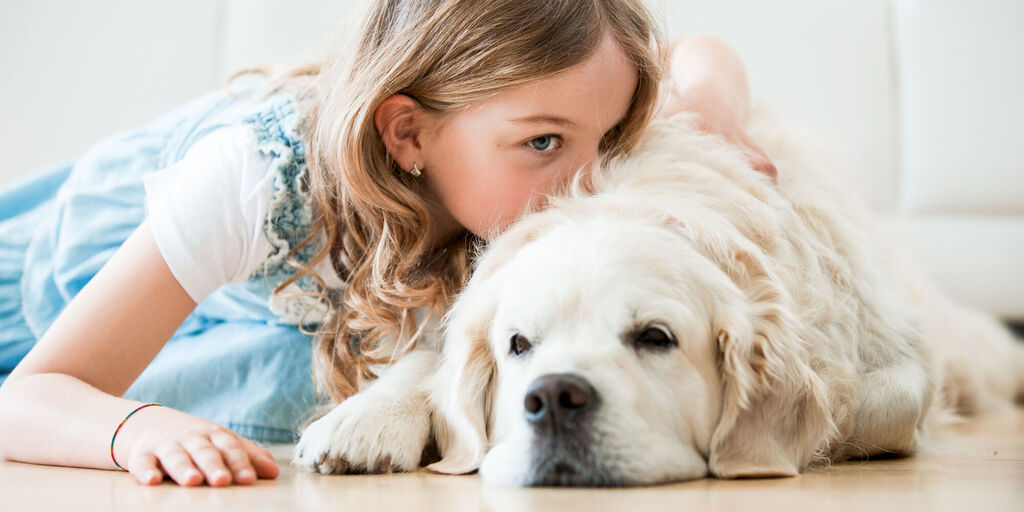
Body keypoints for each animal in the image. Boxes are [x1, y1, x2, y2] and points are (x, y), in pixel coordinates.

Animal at [290, 107, 1024, 483]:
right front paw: (368, 419)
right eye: (519, 345)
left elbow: (868, 407)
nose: (554, 398)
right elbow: (428, 360)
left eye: (655, 338)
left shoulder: (897, 363)